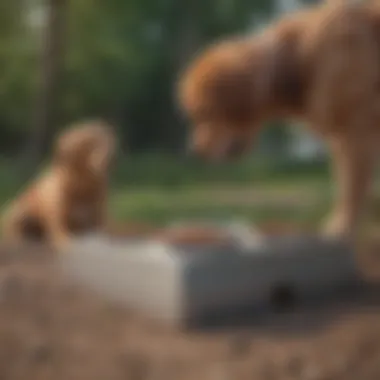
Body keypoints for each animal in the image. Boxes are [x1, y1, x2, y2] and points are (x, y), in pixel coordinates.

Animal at [1, 119, 116, 249]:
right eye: (91, 144)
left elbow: (102, 227)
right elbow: (59, 229)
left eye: (107, 142)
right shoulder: (57, 209)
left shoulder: (98, 211)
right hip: (19, 212)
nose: (109, 158)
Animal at [179, 1, 380, 240]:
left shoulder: (355, 133)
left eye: (205, 113)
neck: (300, 59)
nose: (194, 150)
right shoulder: (346, 136)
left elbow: (351, 190)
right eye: (196, 115)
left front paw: (341, 229)